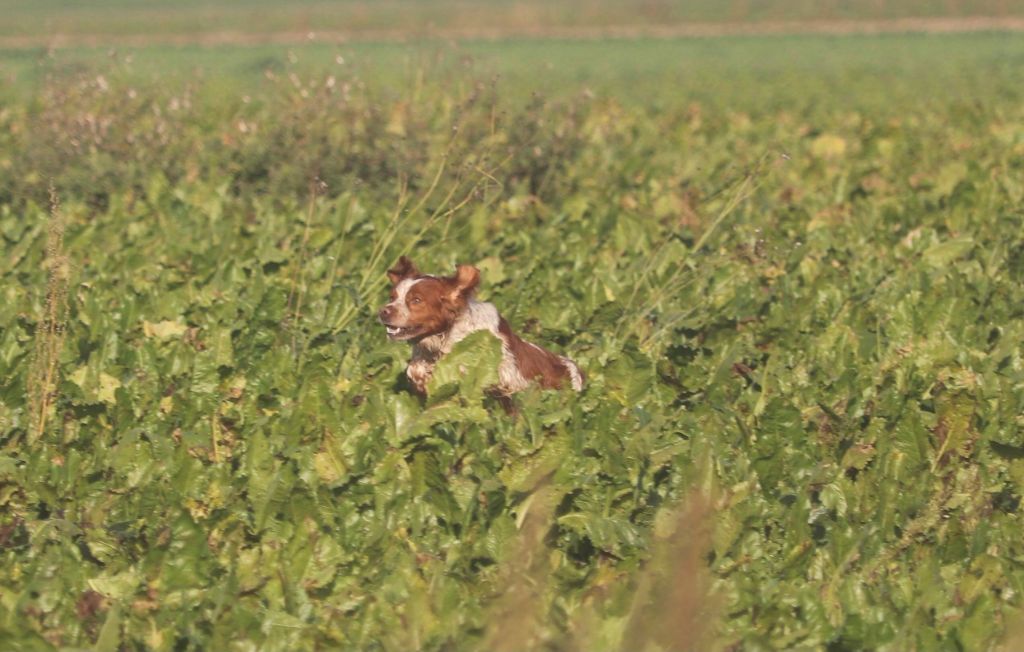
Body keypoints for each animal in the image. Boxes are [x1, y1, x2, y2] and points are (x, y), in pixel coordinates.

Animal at [376, 255, 585, 397]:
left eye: (416, 300)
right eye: (392, 297)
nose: (383, 311)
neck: (444, 338)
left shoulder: (505, 375)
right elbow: (415, 369)